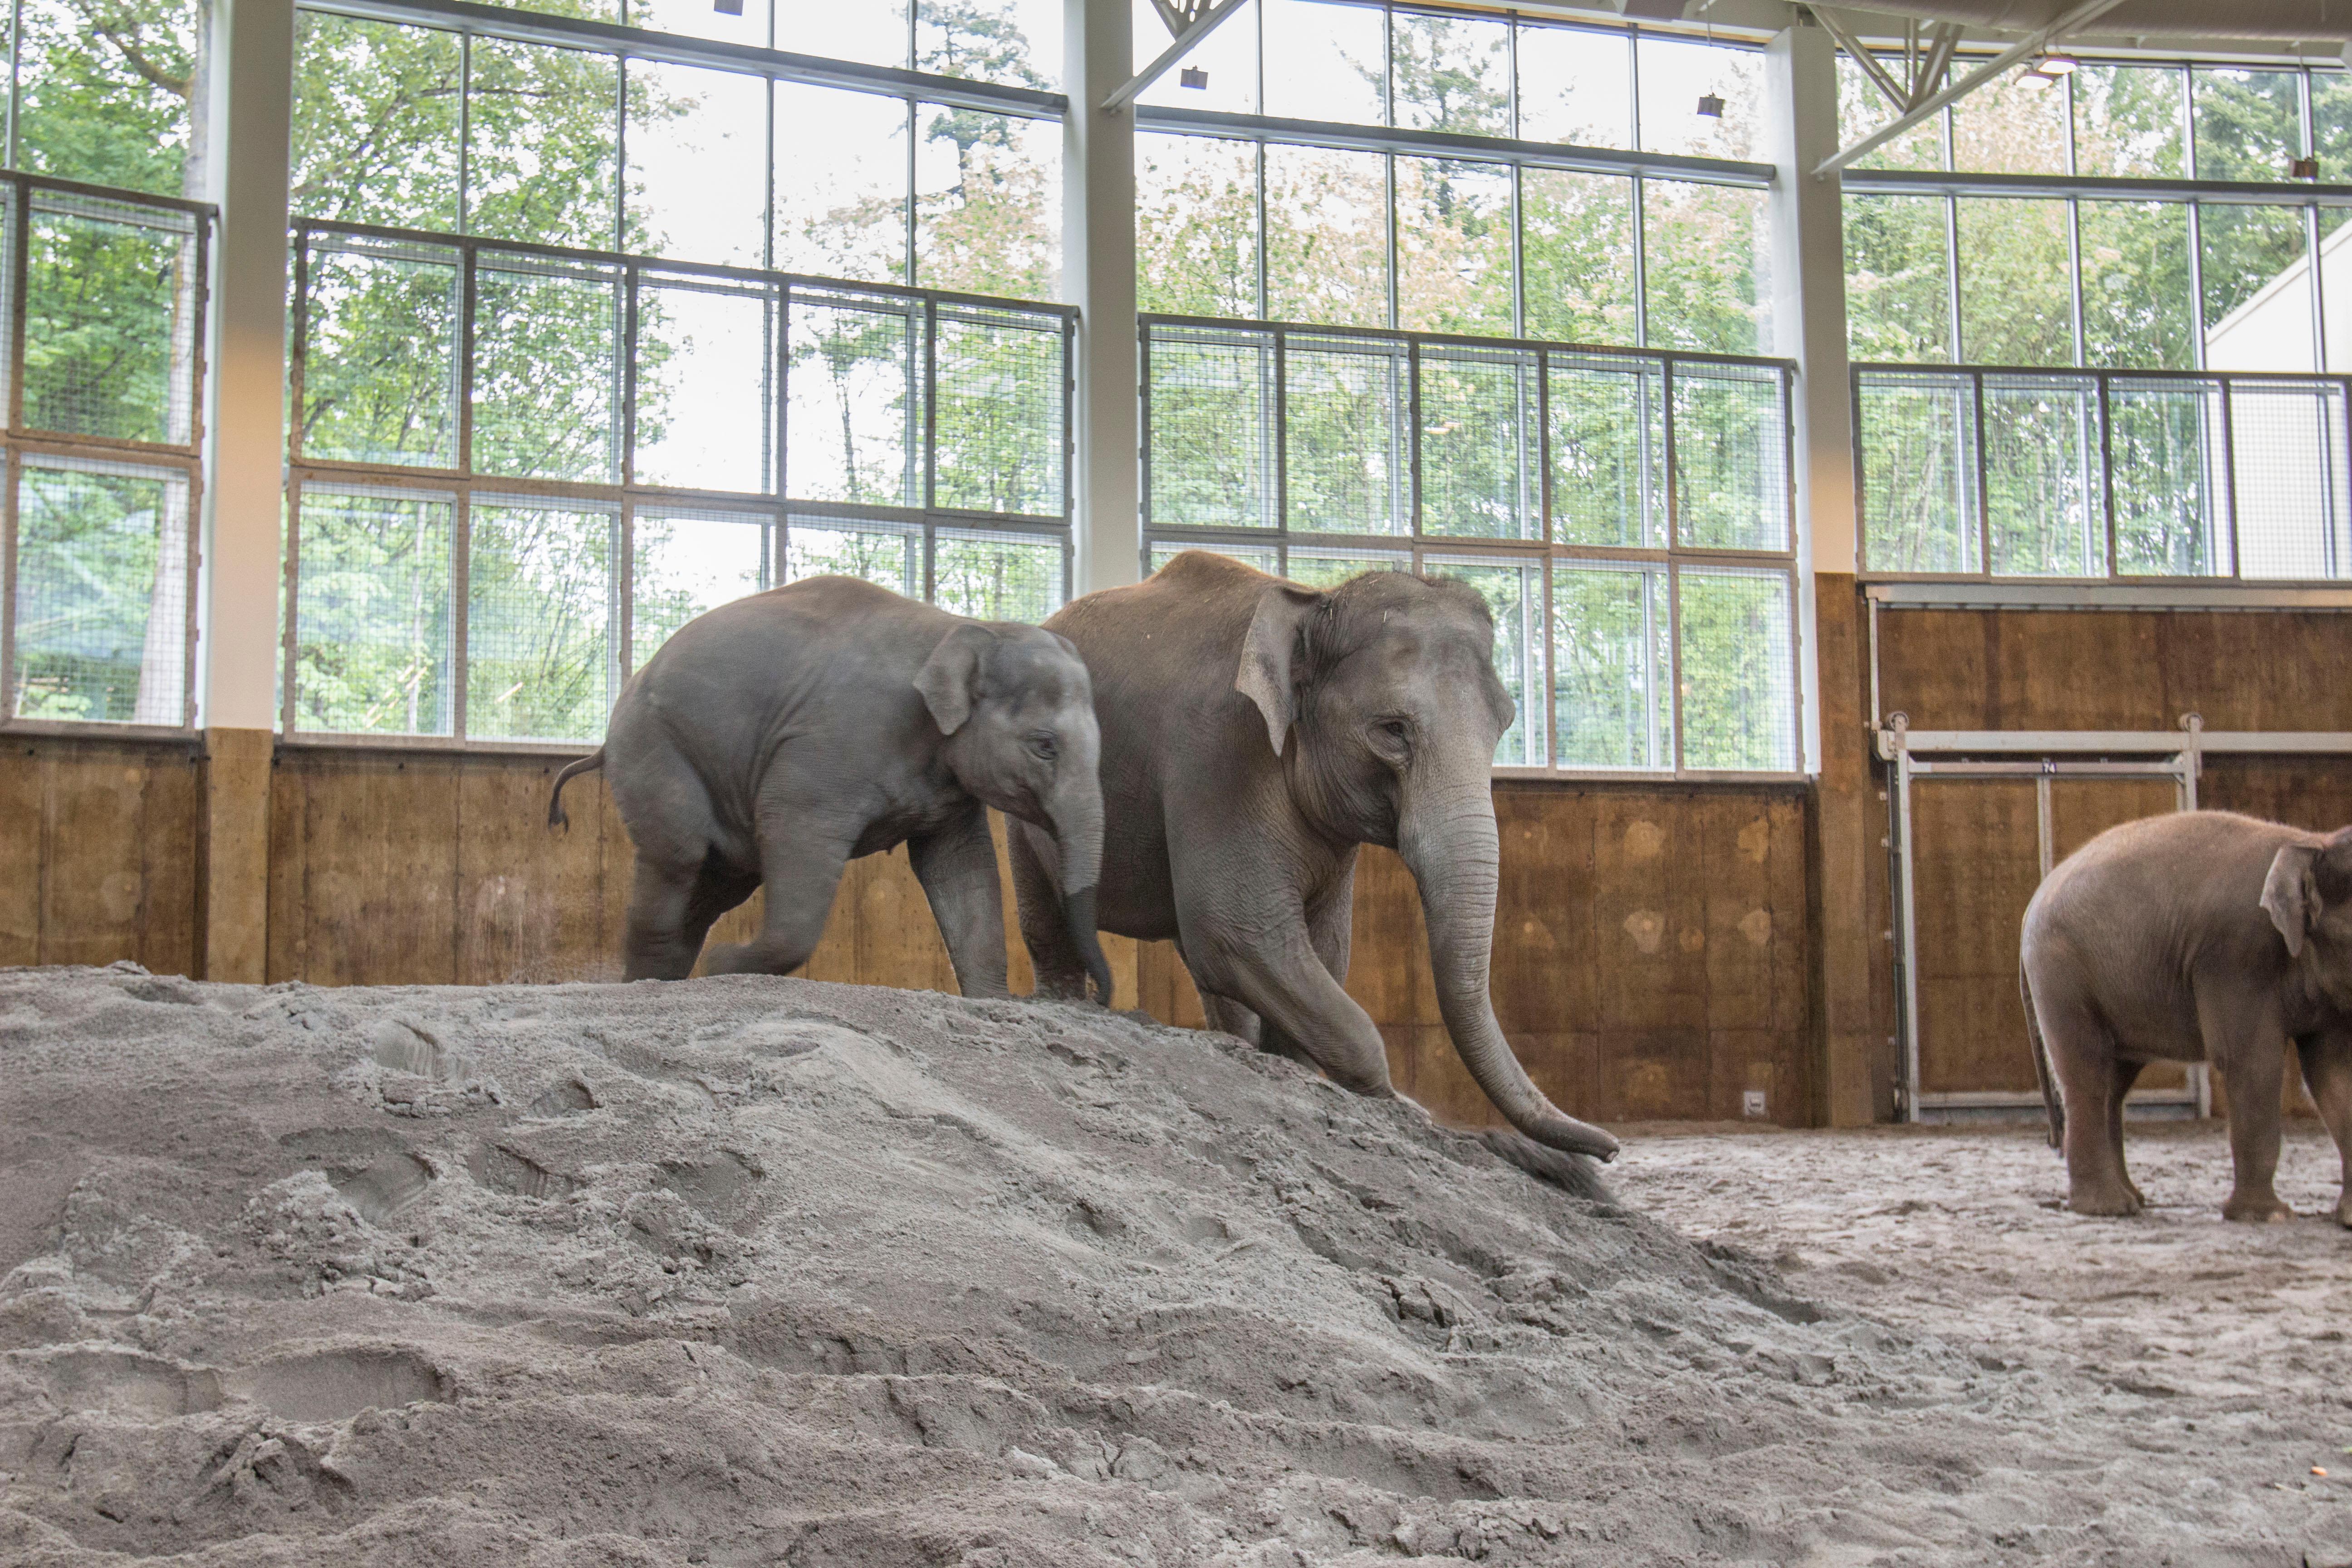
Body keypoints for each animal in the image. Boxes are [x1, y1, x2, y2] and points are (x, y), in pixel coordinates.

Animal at [550, 571, 1110, 1001]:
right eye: (1045, 746)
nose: (1102, 998)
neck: (963, 627)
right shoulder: (829, 747)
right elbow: (794, 832)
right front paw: (725, 964)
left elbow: (961, 867)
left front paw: (992, 1003)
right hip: (653, 746)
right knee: (679, 856)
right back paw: (650, 984)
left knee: (715, 883)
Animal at [2023, 808, 2352, 1222]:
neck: (2312, 843)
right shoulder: (2236, 954)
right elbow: (2251, 1061)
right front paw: (2268, 1217)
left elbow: (2332, 1073)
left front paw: (2347, 1219)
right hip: (2061, 976)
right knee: (2086, 1072)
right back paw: (2108, 1209)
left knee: (2114, 1083)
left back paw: (2133, 1199)